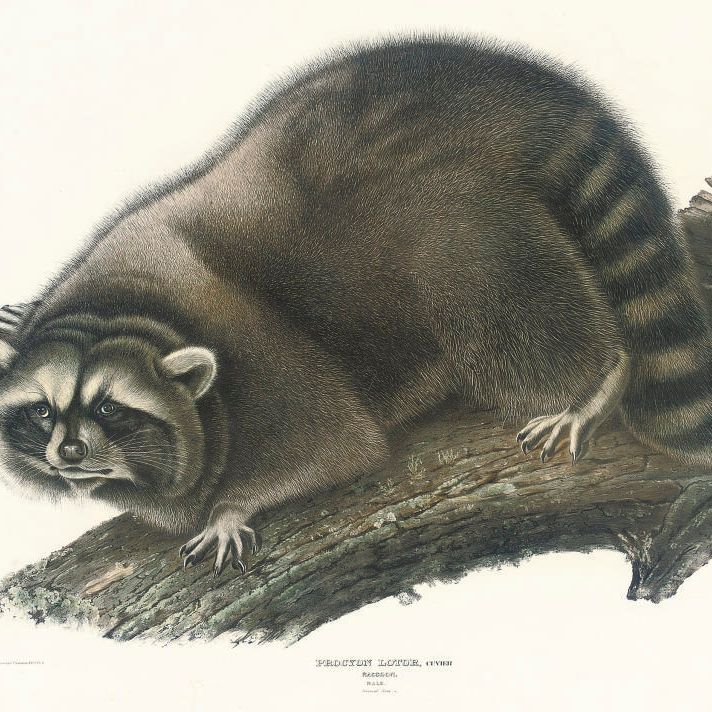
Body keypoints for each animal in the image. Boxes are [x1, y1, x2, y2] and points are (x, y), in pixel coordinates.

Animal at [0, 36, 708, 576]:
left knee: (490, 291)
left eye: (110, 409)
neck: (124, 311)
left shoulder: (259, 352)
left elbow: (335, 445)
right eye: (42, 411)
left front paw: (232, 506)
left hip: (453, 208)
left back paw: (595, 380)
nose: (69, 454)